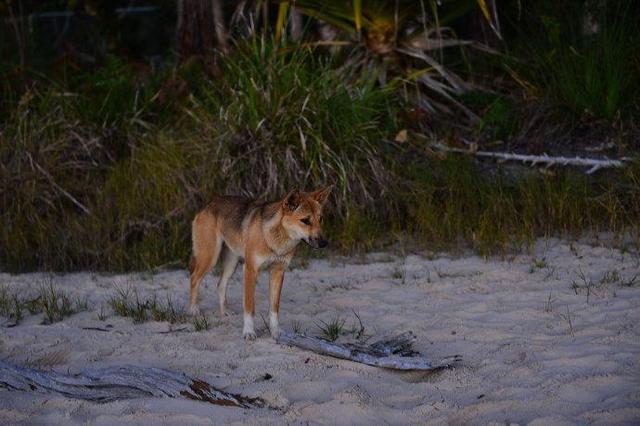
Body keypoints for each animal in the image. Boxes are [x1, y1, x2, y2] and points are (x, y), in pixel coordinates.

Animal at [188, 186, 332, 340]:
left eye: (320, 219)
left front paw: (275, 332)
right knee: (194, 278)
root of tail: (209, 204)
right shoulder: (250, 270)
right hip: (210, 258)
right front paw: (249, 332)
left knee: (220, 284)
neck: (276, 240)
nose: (324, 243)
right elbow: (249, 307)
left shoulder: (278, 272)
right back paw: (193, 309)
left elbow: (274, 309)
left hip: (232, 263)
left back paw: (224, 311)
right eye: (305, 220)